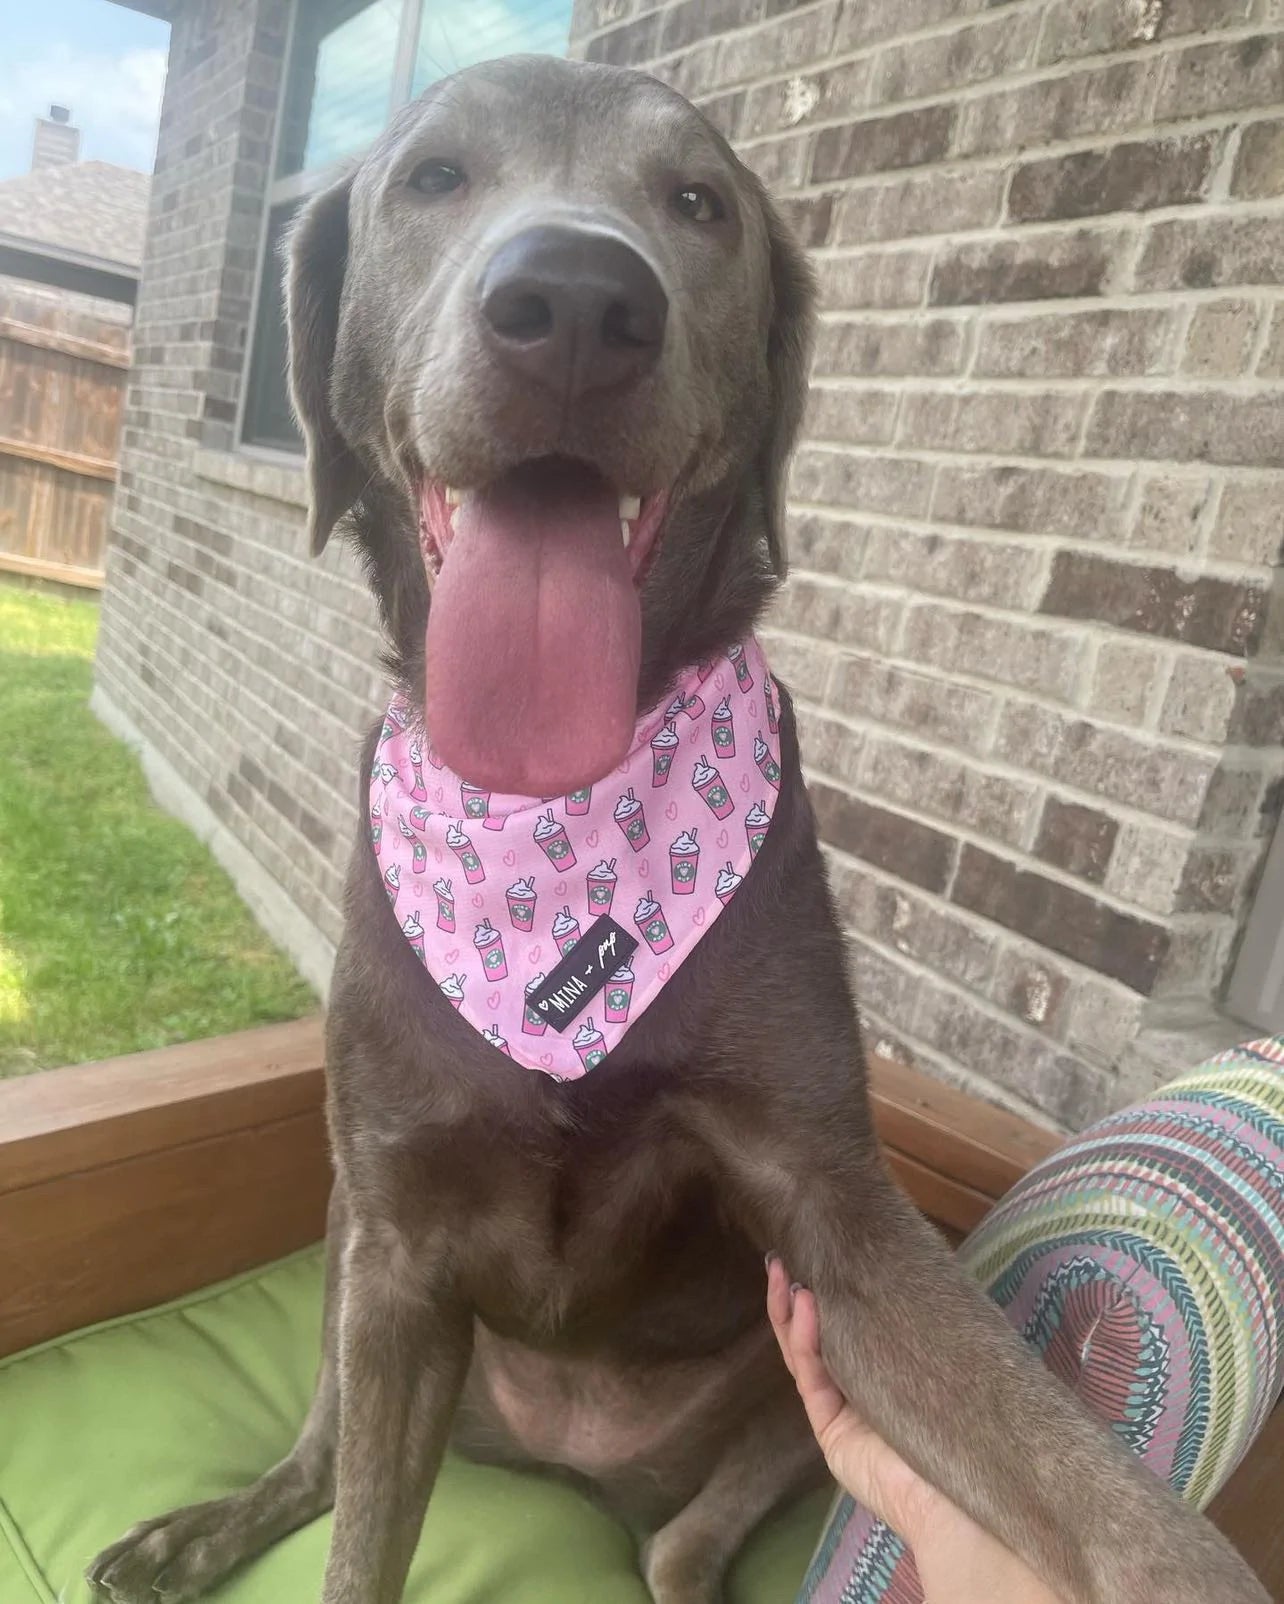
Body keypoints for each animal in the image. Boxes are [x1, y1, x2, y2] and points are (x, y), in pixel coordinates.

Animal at [85, 50, 1271, 1604]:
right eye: (433, 176)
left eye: (701, 203)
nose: (578, 300)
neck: (559, 822)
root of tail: (569, 1455)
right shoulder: (398, 1236)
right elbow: (359, 1546)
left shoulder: (836, 1214)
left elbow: (1079, 1477)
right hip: (355, 1254)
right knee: (328, 1457)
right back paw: (198, 1531)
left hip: (771, 1395)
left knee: (683, 1551)